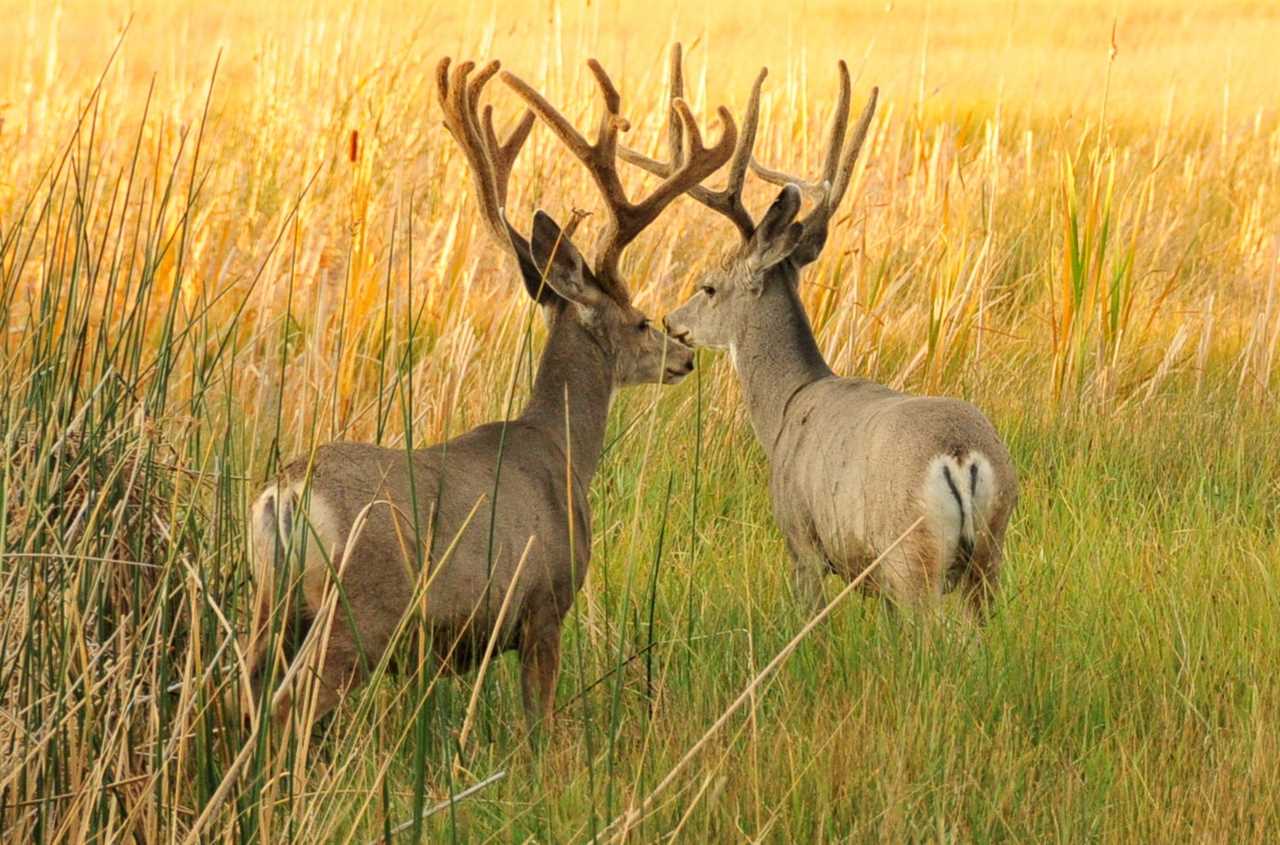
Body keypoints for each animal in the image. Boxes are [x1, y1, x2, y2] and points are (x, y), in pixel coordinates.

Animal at [241, 54, 742, 727]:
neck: (563, 451)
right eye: (639, 321)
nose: (683, 355)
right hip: (362, 606)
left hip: (271, 605)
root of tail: (288, 494)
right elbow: (540, 722)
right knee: (289, 701)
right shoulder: (543, 603)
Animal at [640, 49, 1018, 619]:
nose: (672, 322)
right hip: (988, 558)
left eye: (707, 286)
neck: (787, 405)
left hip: (911, 556)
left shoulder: (802, 541)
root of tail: (961, 454)